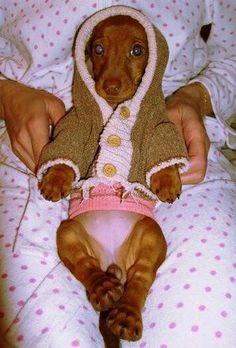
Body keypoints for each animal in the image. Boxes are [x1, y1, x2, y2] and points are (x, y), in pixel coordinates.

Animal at [39, 14, 182, 346]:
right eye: (98, 49)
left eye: (137, 50)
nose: (110, 86)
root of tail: (112, 259)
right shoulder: (75, 124)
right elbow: (66, 147)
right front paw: (56, 178)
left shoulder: (159, 125)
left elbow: (163, 143)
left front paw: (167, 178)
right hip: (68, 233)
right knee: (84, 265)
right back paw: (103, 288)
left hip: (151, 234)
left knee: (142, 276)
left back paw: (127, 314)